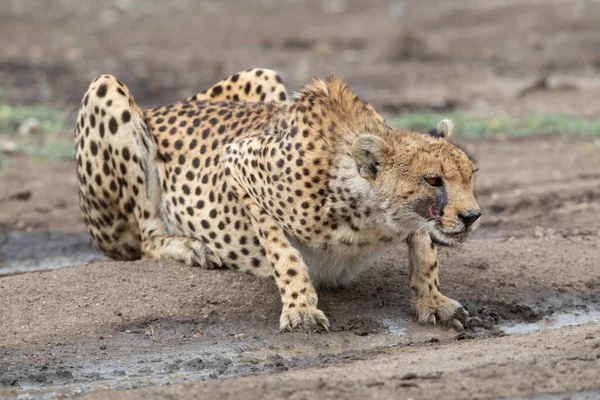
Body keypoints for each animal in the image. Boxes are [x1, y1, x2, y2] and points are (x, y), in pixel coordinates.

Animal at [75, 68, 480, 332]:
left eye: (470, 175)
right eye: (432, 180)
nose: (472, 215)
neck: (370, 214)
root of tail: (158, 109)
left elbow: (425, 251)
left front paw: (432, 301)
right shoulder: (238, 160)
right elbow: (284, 253)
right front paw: (300, 307)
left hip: (263, 75)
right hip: (104, 88)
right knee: (145, 236)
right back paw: (189, 246)